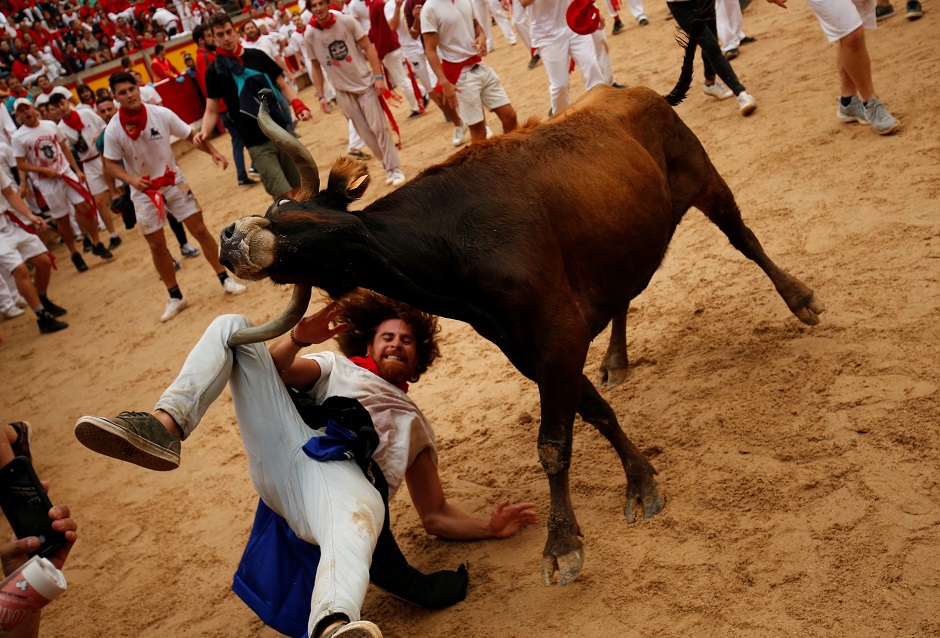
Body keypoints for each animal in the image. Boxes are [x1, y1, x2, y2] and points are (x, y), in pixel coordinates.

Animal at [218, 62, 824, 588]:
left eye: (294, 221)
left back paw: (800, 300)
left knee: (746, 239)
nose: (229, 237)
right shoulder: (530, 349)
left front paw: (563, 545)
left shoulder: (557, 340)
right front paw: (639, 480)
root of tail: (636, 92)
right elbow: (596, 414)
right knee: (625, 297)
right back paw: (617, 359)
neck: (455, 249)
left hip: (704, 179)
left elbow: (554, 442)